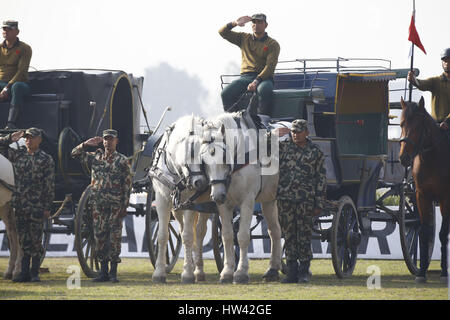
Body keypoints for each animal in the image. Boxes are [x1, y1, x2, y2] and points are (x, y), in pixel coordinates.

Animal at [199, 113, 284, 284]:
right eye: (204, 161)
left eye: (224, 157)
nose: (216, 195)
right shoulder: (224, 204)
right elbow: (227, 236)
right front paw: (227, 272)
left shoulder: (247, 201)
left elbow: (243, 236)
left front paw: (241, 272)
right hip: (269, 200)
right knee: (275, 231)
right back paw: (272, 269)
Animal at [400, 97, 448, 282]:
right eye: (401, 124)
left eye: (418, 126)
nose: (403, 157)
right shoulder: (422, 197)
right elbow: (424, 231)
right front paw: (421, 271)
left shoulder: (446, 198)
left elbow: (442, 234)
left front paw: (444, 271)